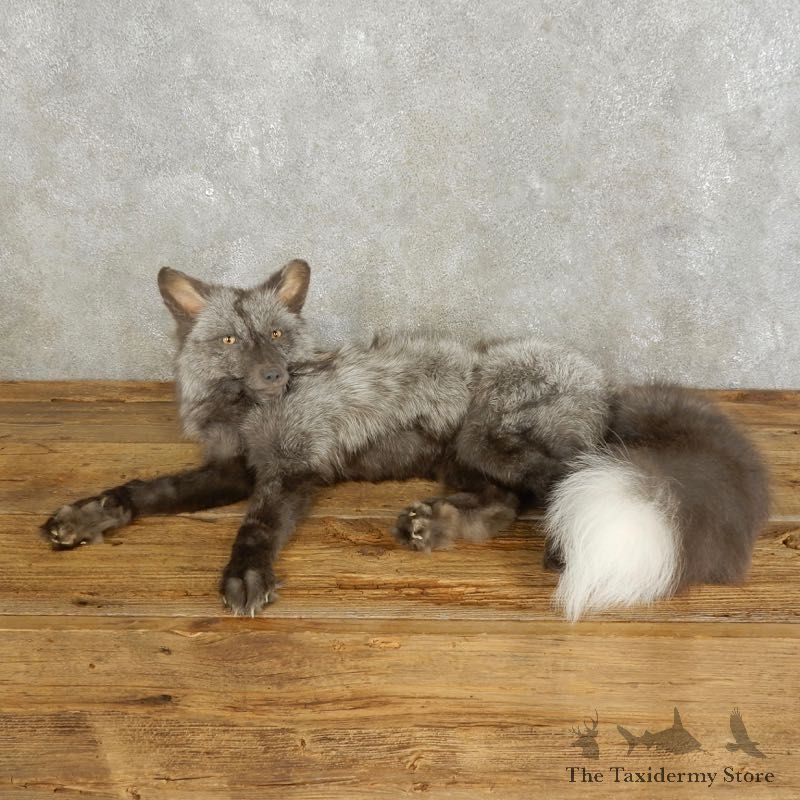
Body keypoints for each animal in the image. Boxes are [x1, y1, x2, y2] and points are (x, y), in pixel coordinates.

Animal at [42, 259, 769, 619]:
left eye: (275, 334)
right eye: (228, 341)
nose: (276, 373)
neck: (248, 414)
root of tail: (605, 385)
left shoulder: (289, 474)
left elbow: (255, 525)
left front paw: (246, 574)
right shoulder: (234, 469)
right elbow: (143, 490)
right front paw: (88, 515)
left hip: (494, 440)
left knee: (564, 482)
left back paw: (547, 544)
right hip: (465, 461)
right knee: (508, 506)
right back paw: (438, 525)